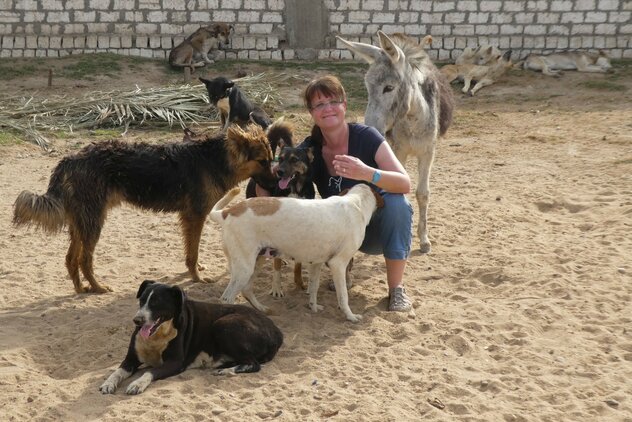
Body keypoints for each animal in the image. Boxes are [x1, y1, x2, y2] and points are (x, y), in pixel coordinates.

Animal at [12, 123, 288, 294]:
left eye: (271, 159)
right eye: (263, 161)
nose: (278, 183)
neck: (215, 160)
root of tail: (69, 159)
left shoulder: (190, 218)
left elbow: (191, 251)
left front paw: (196, 271)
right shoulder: (195, 216)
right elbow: (193, 253)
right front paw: (196, 277)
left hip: (81, 223)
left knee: (71, 259)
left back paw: (81, 289)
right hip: (93, 223)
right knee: (84, 259)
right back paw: (98, 288)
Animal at [99, 280, 284, 396]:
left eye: (156, 302)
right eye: (142, 300)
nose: (137, 320)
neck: (159, 334)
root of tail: (277, 331)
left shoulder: (174, 363)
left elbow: (149, 371)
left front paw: (137, 383)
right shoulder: (131, 359)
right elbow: (117, 372)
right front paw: (108, 383)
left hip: (223, 324)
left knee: (254, 364)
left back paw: (226, 371)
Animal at [210, 183, 382, 322]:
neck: (356, 201)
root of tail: (227, 212)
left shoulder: (317, 263)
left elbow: (313, 287)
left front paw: (314, 307)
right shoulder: (338, 264)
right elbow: (343, 296)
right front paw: (350, 316)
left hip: (256, 261)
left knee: (246, 290)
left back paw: (262, 309)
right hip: (244, 268)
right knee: (227, 298)